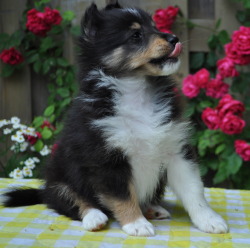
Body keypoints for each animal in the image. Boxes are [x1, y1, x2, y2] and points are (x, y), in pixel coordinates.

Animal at [1, 0, 229, 235]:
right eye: (136, 35)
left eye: (154, 26)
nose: (174, 39)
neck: (136, 91)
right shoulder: (106, 158)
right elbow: (122, 195)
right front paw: (136, 224)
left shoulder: (176, 150)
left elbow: (194, 190)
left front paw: (209, 220)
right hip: (60, 174)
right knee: (67, 198)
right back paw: (94, 217)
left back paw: (153, 209)